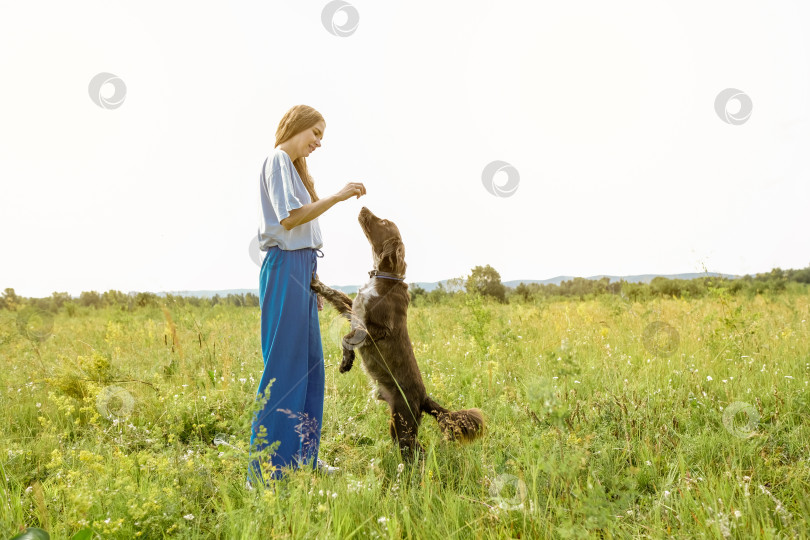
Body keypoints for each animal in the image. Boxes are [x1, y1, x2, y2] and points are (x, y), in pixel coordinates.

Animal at [312, 205, 482, 458]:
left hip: (404, 424)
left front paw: (346, 362)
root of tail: (423, 398)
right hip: (396, 423)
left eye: (383, 222)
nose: (363, 207)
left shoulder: (378, 328)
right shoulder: (353, 310)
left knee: (416, 453)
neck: (384, 277)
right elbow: (335, 294)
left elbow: (346, 338)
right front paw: (316, 282)